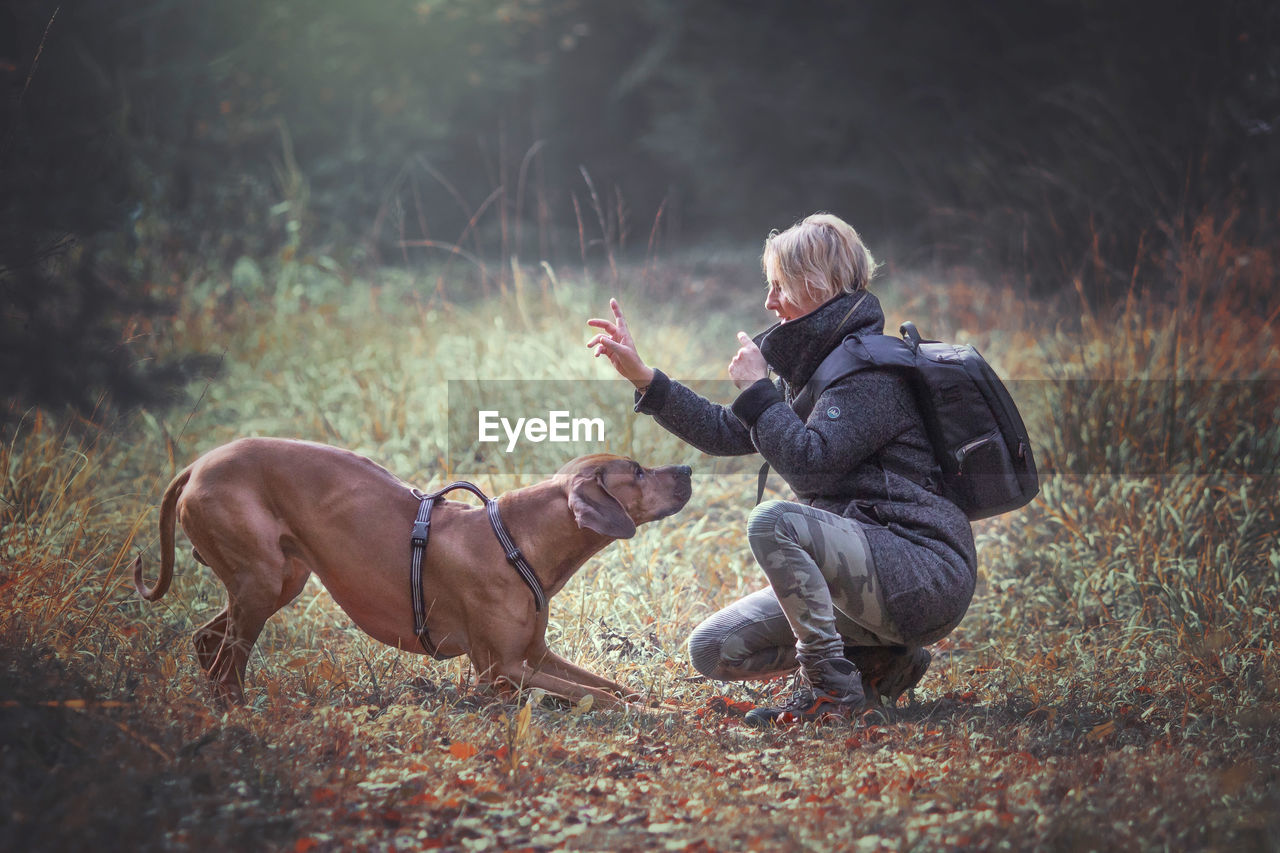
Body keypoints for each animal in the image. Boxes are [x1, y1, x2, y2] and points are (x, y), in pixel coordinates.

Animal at [132, 438, 691, 701]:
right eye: (637, 471)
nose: (687, 468)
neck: (517, 542)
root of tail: (198, 464)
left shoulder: (537, 656)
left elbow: (612, 687)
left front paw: (659, 702)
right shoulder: (502, 671)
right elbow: (600, 698)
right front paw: (649, 713)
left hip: (281, 579)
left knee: (209, 640)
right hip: (262, 578)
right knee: (228, 666)